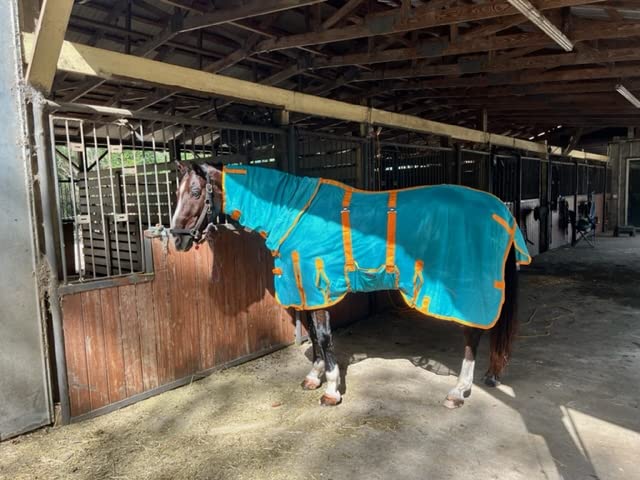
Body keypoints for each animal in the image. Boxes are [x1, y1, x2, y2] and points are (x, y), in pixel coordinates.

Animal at [170, 161, 531, 408]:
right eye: (177, 192)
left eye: (196, 192)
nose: (176, 239)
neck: (295, 211)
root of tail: (501, 211)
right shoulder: (306, 288)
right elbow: (312, 334)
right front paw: (313, 377)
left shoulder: (317, 287)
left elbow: (325, 337)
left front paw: (331, 390)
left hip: (465, 291)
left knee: (473, 335)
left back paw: (458, 391)